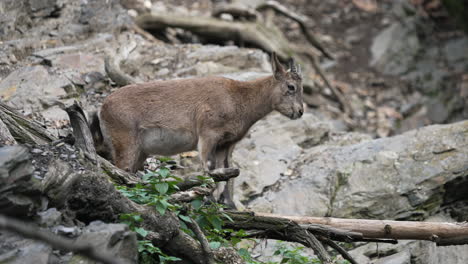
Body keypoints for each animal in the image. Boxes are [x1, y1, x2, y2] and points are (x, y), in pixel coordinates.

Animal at [91, 53, 304, 206]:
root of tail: (101, 109)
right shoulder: (207, 135)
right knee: (121, 171)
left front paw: (228, 205)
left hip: (140, 152)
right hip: (125, 143)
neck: (239, 99)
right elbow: (207, 169)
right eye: (291, 86)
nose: (300, 111)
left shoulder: (226, 144)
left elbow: (226, 172)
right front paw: (207, 200)